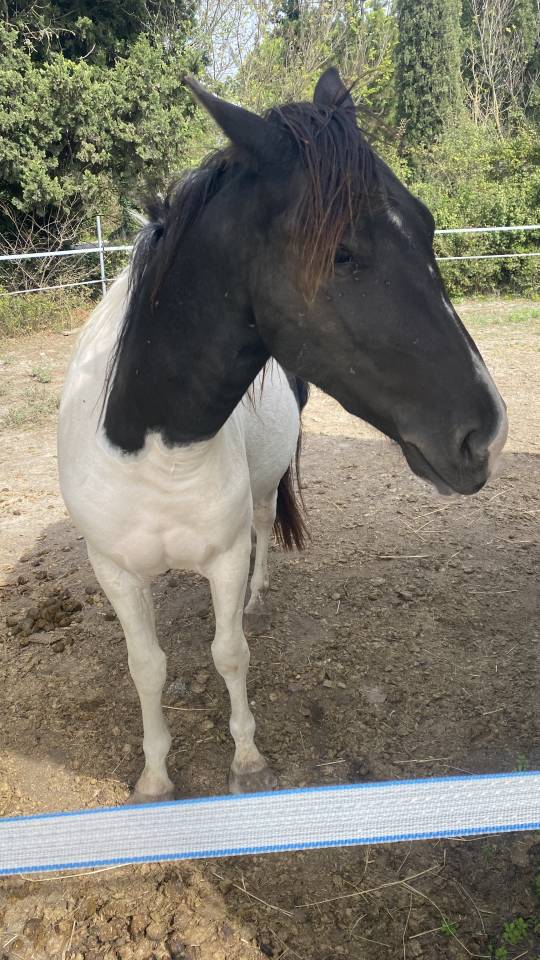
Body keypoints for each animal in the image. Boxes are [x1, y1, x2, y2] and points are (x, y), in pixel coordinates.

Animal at [58, 67, 507, 803]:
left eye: (426, 225)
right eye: (343, 252)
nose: (488, 434)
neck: (153, 447)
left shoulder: (222, 557)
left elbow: (229, 651)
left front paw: (246, 759)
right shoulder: (115, 572)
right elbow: (146, 667)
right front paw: (154, 776)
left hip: (265, 496)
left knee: (265, 527)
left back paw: (258, 595)